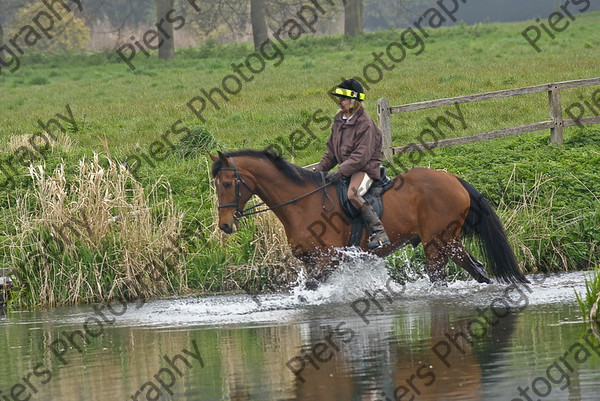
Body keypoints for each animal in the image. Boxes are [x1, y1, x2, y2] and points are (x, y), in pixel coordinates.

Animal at [209, 148, 528, 286]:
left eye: (227, 183)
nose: (225, 225)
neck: (302, 203)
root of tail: (454, 180)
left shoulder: (328, 259)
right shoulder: (313, 261)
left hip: (437, 243)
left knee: (442, 277)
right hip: (450, 241)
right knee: (477, 269)